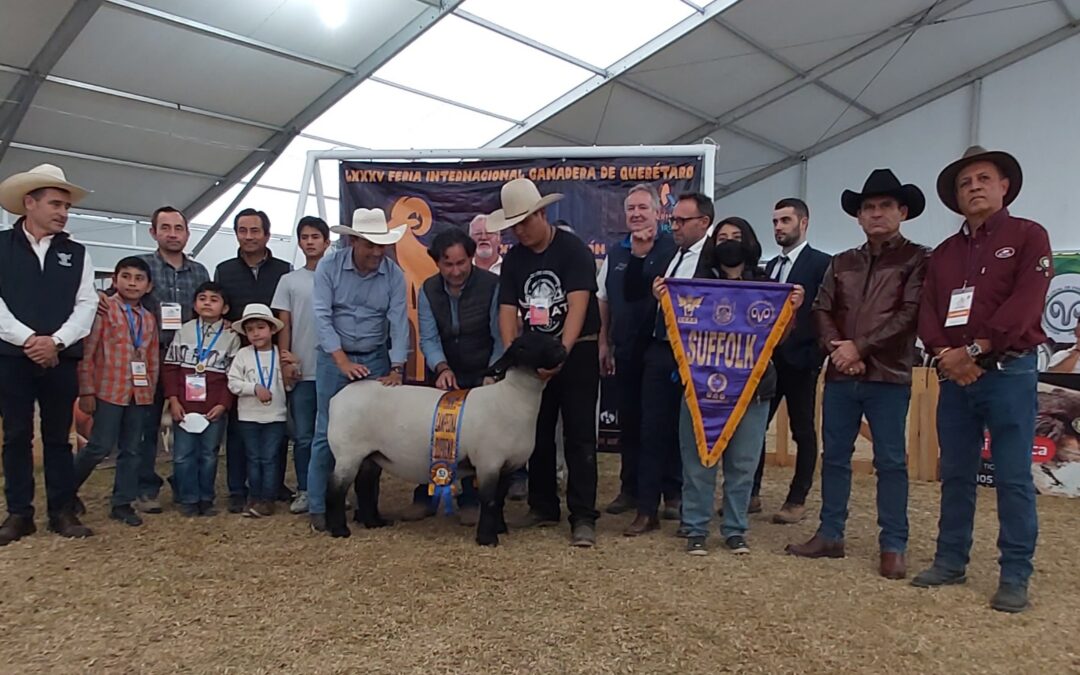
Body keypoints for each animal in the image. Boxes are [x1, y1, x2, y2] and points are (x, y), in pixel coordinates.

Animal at [324, 332, 570, 542]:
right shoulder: (488, 462)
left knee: (364, 484)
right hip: (348, 452)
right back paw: (339, 530)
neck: (511, 398)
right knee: (336, 489)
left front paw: (500, 528)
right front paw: (487, 538)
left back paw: (374, 522)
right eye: (522, 346)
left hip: (371, 454)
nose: (561, 348)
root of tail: (337, 398)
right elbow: (489, 500)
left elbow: (498, 500)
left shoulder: (507, 465)